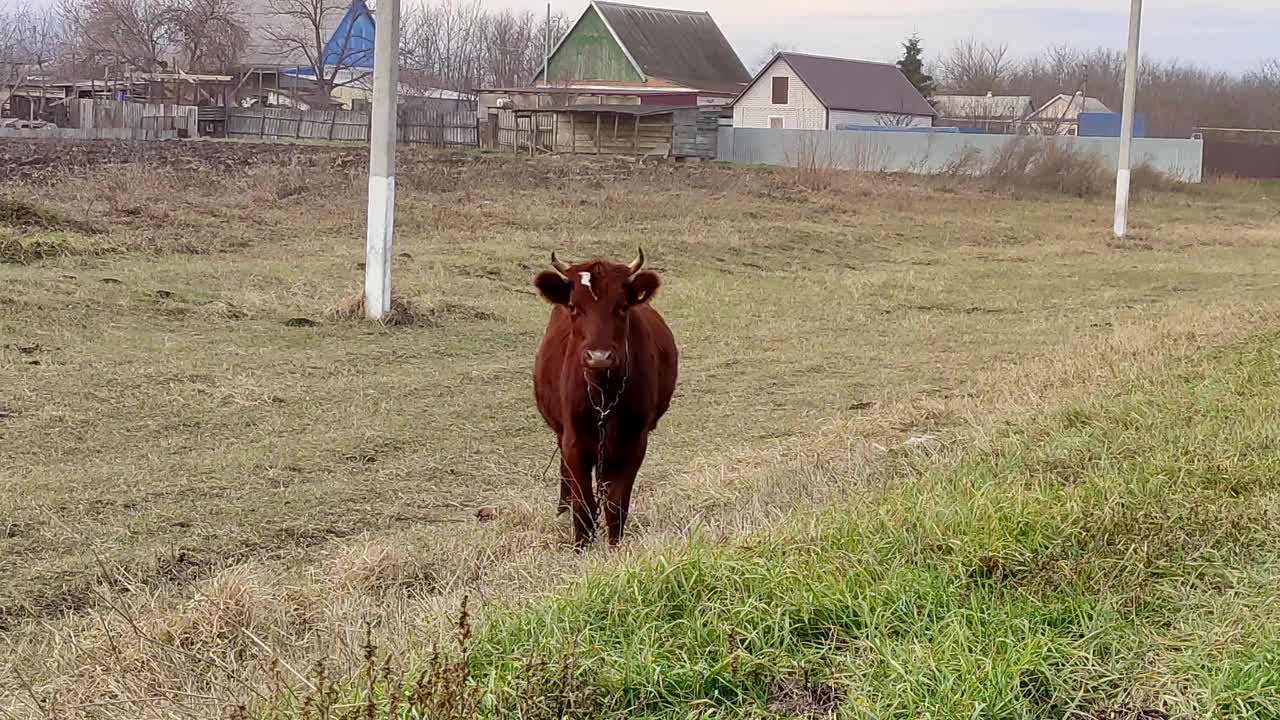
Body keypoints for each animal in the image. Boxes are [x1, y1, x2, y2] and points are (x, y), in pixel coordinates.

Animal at [532, 249, 680, 545]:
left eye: (622, 307)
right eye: (574, 307)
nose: (599, 357)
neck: (604, 395)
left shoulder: (634, 442)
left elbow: (615, 504)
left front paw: (615, 547)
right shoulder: (574, 441)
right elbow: (584, 506)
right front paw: (580, 547)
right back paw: (562, 509)